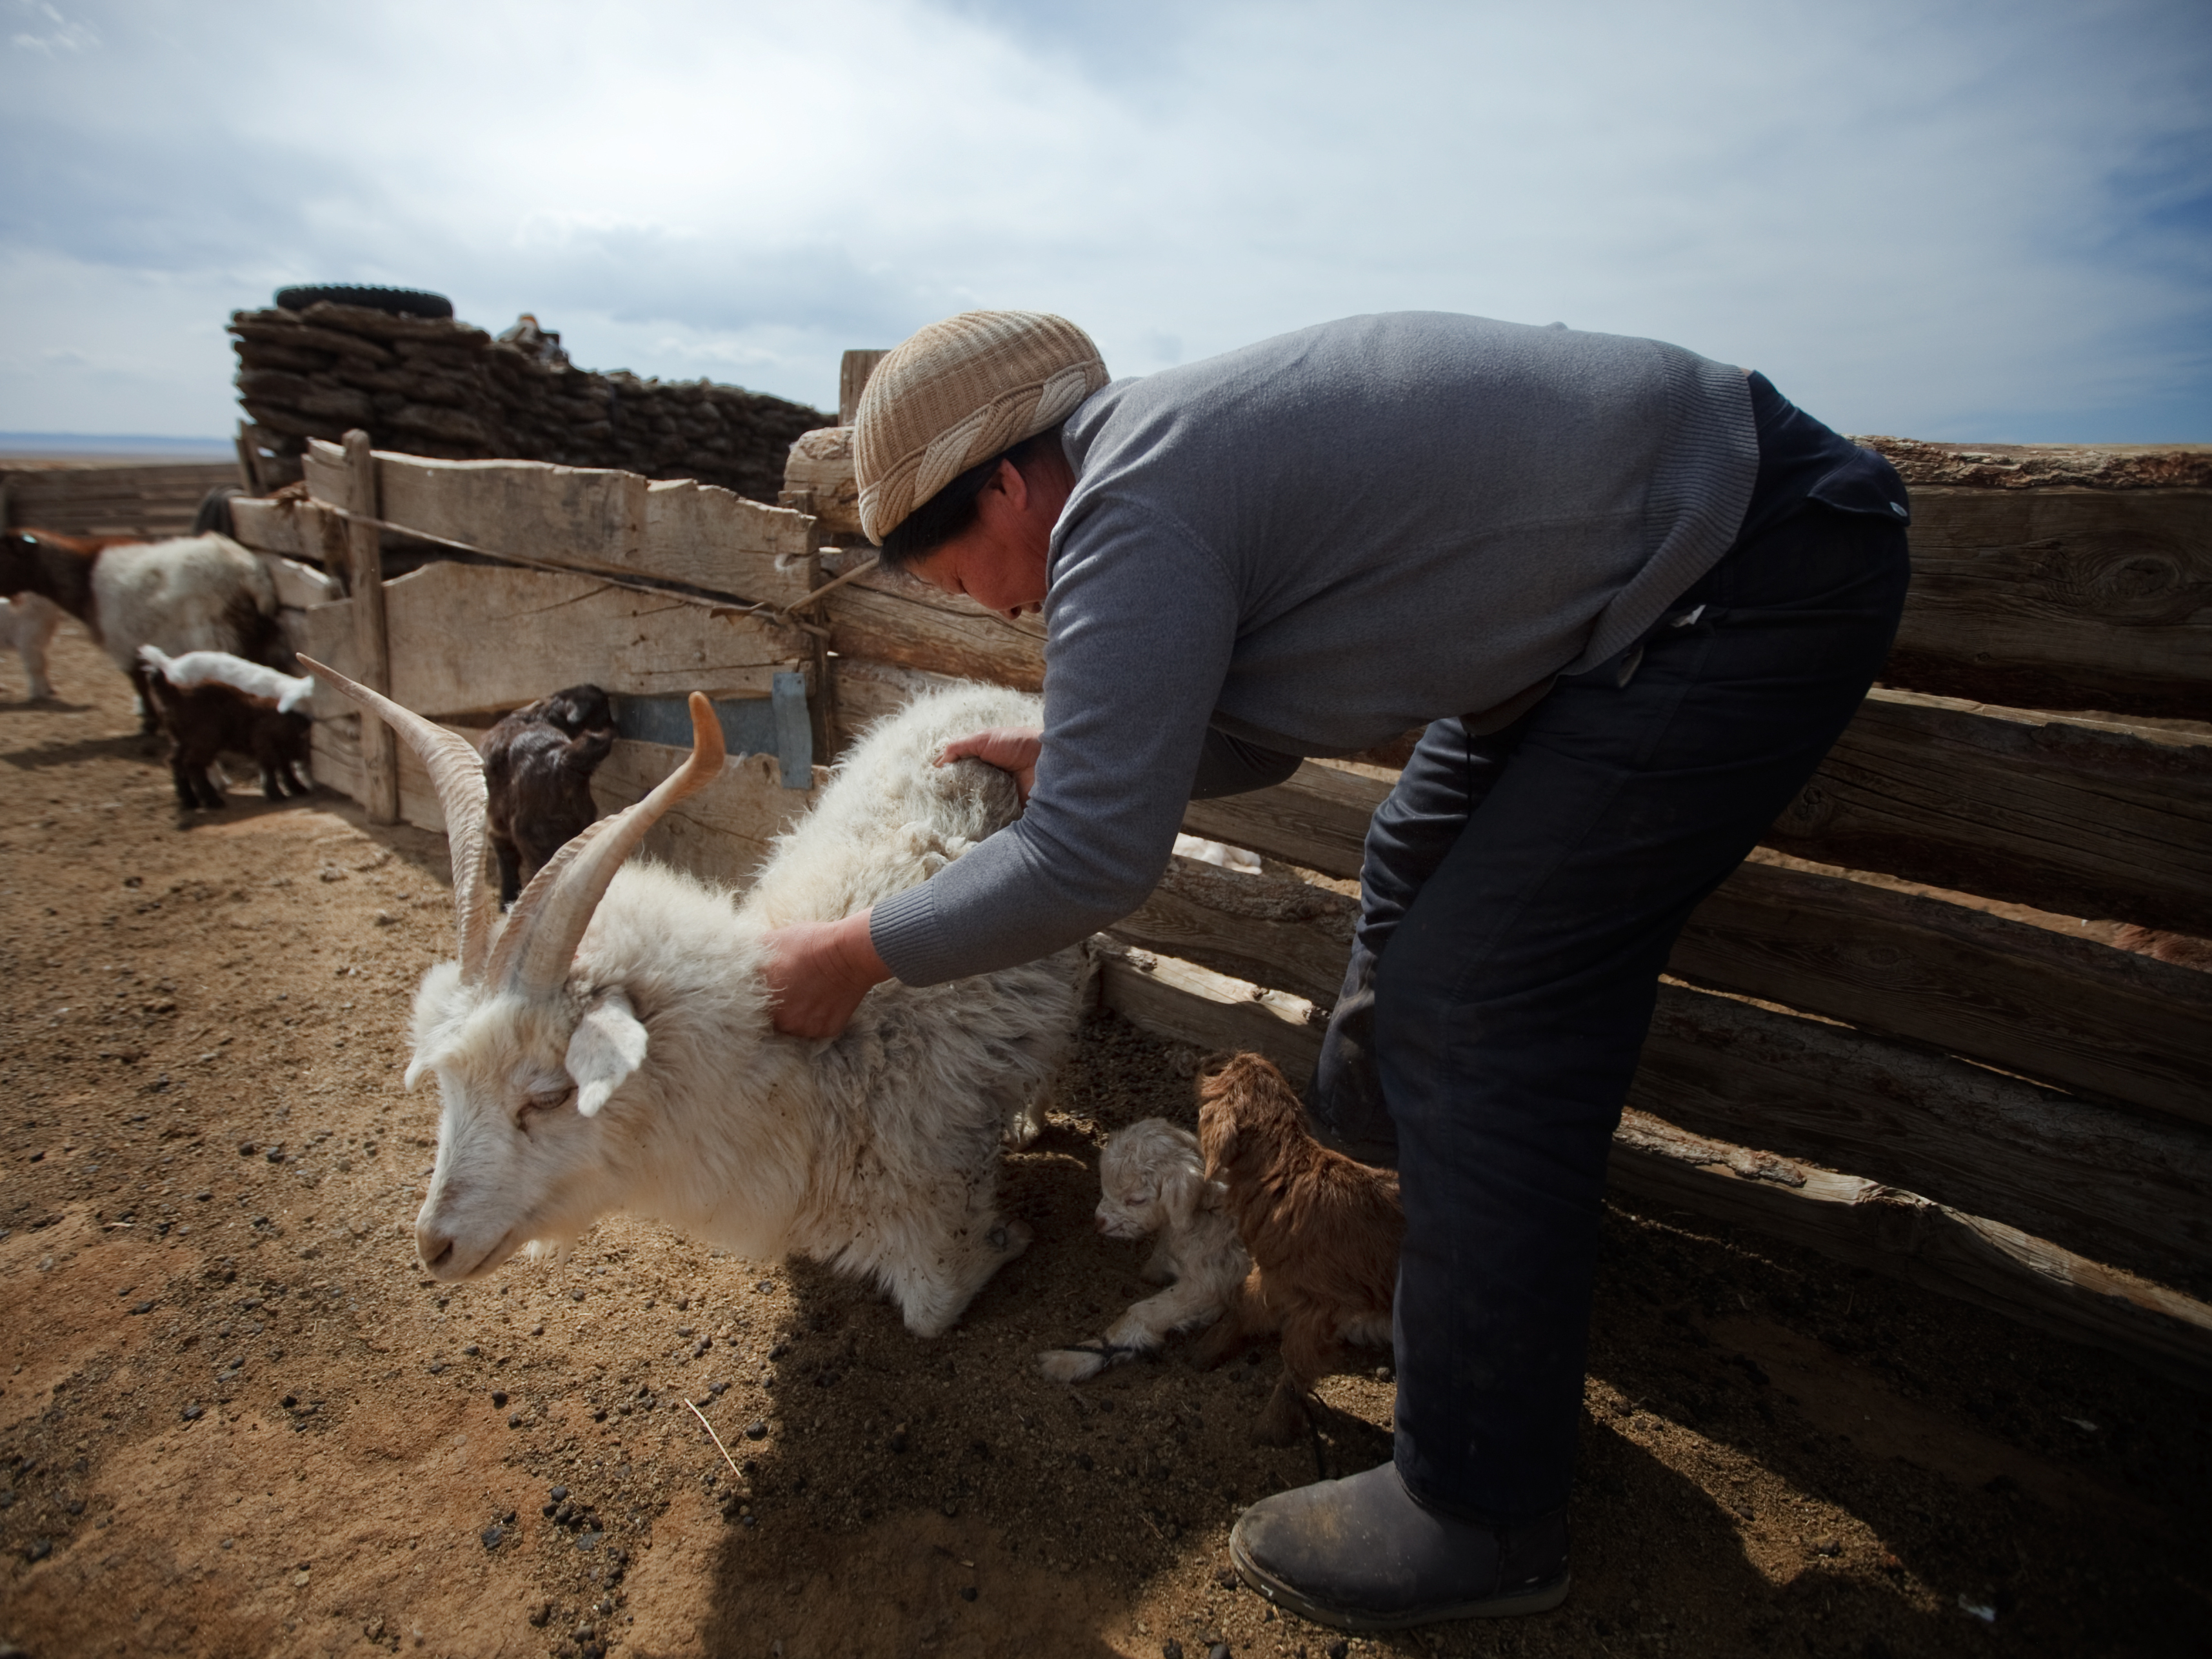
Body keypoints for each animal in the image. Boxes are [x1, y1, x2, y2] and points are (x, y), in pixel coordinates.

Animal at [0, 592, 64, 703]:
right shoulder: (28, 644)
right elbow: (36, 667)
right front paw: (37, 694)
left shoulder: (40, 644)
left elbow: (44, 665)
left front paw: (50, 690)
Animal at [301, 654, 1079, 1345]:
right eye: (445, 1088)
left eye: (549, 1096)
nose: (434, 1246)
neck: (806, 1067)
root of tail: (983, 689)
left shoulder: (934, 1204)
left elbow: (933, 1309)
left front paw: (1010, 1236)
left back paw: (1028, 1116)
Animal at [1030, 1123, 1247, 1380]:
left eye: (1137, 1200)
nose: (1100, 1221)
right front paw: (1152, 1272)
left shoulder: (1213, 1277)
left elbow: (1142, 1313)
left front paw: (1073, 1359)